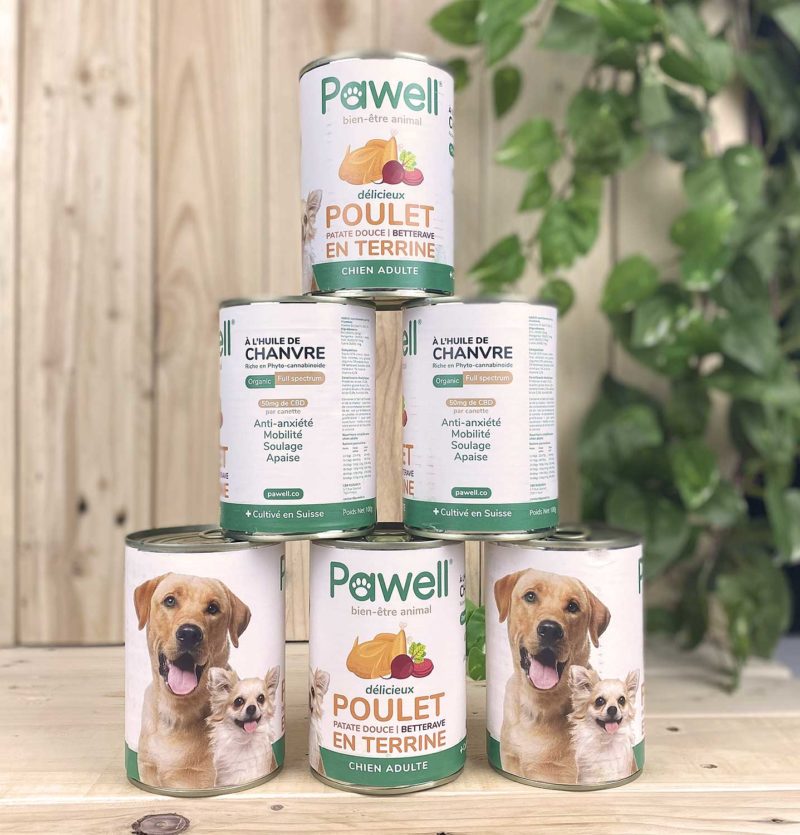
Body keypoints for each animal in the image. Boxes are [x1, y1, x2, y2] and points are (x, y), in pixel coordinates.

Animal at [133, 573, 251, 789]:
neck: (176, 712)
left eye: (213, 608)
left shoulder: (202, 778)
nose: (189, 633)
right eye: (170, 600)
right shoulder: (147, 768)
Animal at [494, 568, 610, 784]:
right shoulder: (510, 757)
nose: (550, 630)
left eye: (573, 606)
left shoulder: (564, 773)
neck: (539, 706)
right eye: (530, 596)